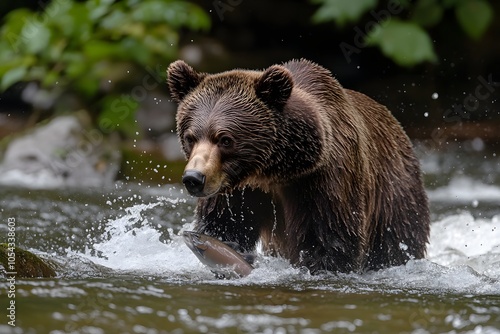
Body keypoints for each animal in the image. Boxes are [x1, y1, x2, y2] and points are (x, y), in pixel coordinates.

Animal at [167, 59, 430, 274]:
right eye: (190, 137)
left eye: (225, 139)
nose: (194, 178)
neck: (274, 172)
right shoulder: (235, 190)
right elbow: (225, 225)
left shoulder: (324, 180)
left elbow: (330, 241)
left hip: (394, 196)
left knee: (396, 242)